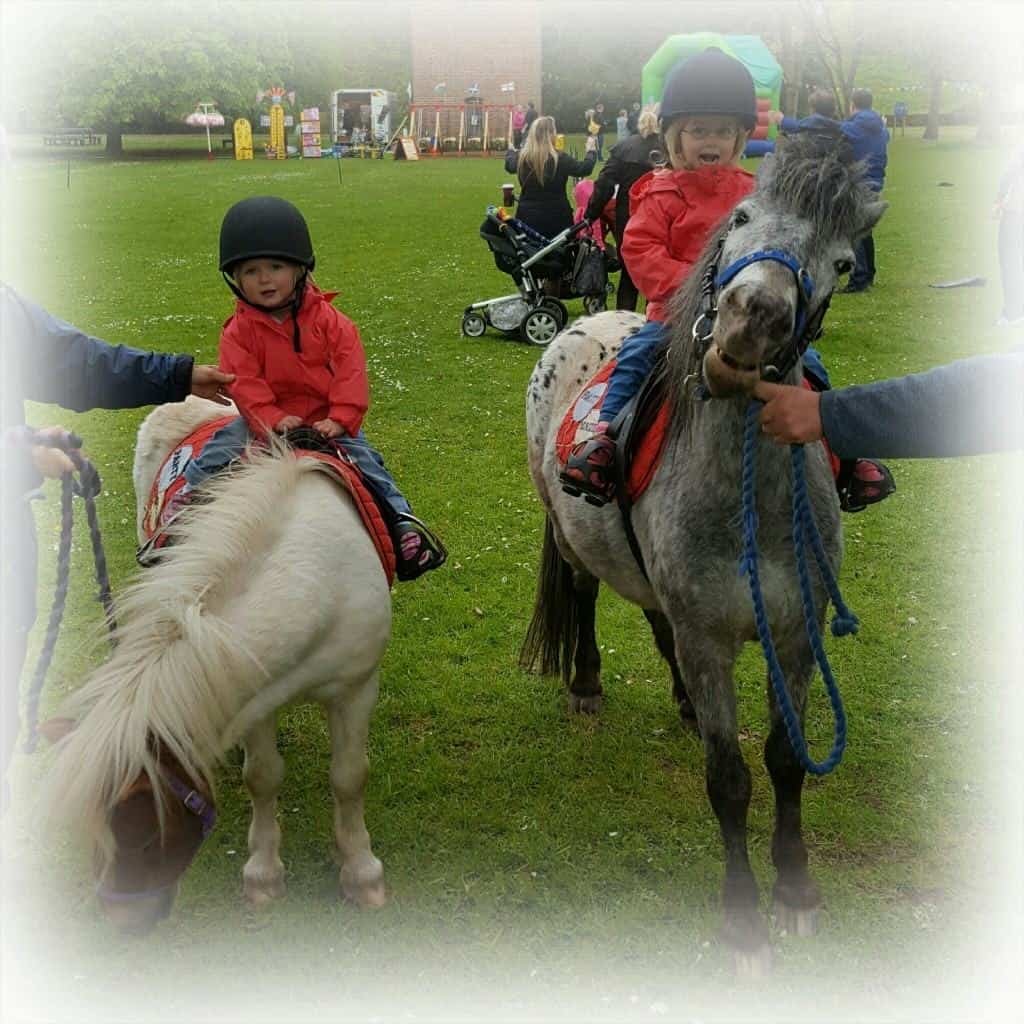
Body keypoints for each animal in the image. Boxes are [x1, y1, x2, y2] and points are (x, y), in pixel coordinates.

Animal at [43, 397, 391, 929]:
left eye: (147, 830)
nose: (122, 922)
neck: (316, 583)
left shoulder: (355, 687)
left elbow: (349, 776)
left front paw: (362, 874)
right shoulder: (255, 694)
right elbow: (263, 776)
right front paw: (264, 877)